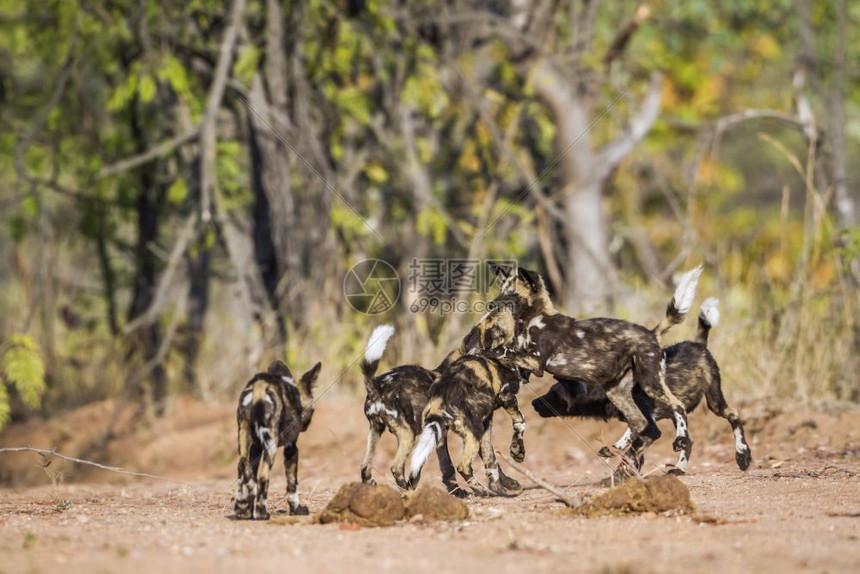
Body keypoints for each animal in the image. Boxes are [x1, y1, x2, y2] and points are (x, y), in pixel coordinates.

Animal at [235, 360, 322, 520]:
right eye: (312, 411)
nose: (305, 426)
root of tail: (259, 386)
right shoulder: (291, 448)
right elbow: (292, 486)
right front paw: (297, 510)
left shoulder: (256, 447)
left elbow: (251, 477)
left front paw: (249, 510)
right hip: (271, 446)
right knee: (263, 477)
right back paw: (262, 513)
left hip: (244, 439)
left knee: (242, 468)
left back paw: (241, 509)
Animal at [358, 324, 520, 496]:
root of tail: (375, 387)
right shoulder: (468, 431)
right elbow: (487, 460)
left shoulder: (444, 435)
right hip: (408, 434)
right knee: (396, 468)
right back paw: (409, 490)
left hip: (376, 429)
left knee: (365, 467)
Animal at [480, 264, 704, 466]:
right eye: (501, 290)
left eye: (512, 294)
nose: (491, 305)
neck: (535, 318)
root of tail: (651, 333)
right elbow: (506, 354)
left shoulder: (535, 362)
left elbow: (500, 351)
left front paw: (482, 351)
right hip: (616, 392)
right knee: (639, 421)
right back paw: (613, 449)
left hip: (651, 383)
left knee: (678, 406)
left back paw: (680, 439)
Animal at [536, 300, 748, 474]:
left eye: (553, 393)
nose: (533, 403)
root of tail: (698, 344)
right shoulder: (643, 428)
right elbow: (632, 452)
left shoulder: (651, 430)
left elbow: (628, 455)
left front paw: (619, 477)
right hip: (678, 415)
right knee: (688, 440)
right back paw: (679, 468)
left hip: (714, 402)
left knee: (734, 416)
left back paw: (743, 455)